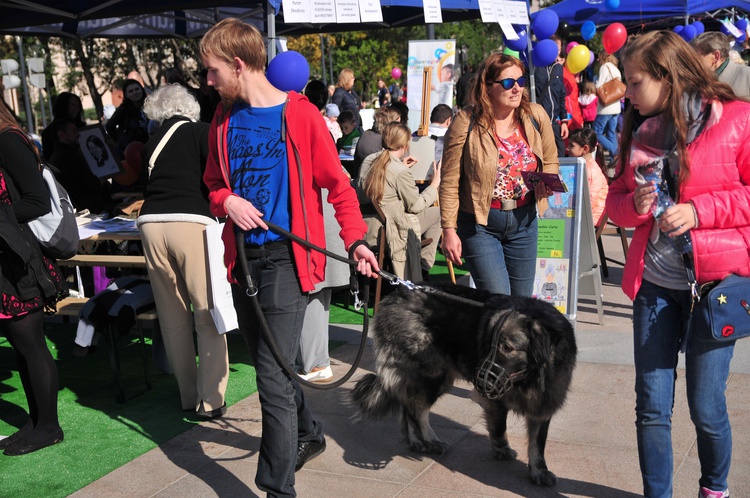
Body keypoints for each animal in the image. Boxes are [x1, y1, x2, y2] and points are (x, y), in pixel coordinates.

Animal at [350, 284, 580, 486]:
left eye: (507, 348)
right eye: (489, 345)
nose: (480, 379)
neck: (529, 378)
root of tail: (392, 297)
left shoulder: (544, 403)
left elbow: (538, 443)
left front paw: (539, 470)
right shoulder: (494, 400)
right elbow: (499, 427)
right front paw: (502, 449)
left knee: (408, 405)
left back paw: (416, 441)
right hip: (434, 375)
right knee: (417, 410)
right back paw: (430, 441)